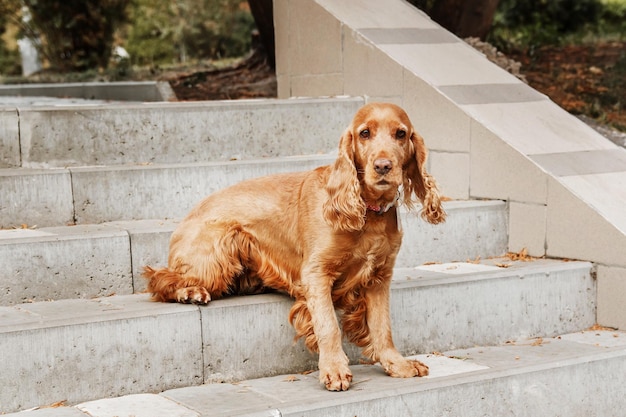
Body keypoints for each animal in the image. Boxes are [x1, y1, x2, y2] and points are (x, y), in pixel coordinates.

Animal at [143, 101, 444, 390]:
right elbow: (328, 325)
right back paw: (190, 292)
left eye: (401, 134)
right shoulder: (316, 273)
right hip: (219, 250)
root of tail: (184, 220)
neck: (369, 213)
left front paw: (397, 364)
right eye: (365, 133)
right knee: (161, 278)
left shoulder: (379, 277)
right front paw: (334, 369)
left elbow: (383, 327)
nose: (383, 166)